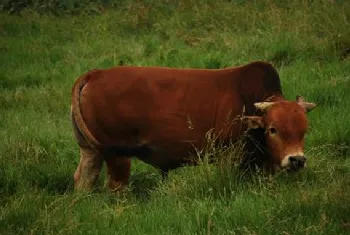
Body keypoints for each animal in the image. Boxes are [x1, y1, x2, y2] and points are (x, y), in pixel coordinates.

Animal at [69, 60, 316, 191]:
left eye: (303, 130)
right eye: (273, 129)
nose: (297, 160)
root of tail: (94, 74)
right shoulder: (228, 156)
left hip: (90, 151)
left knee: (84, 178)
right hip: (118, 156)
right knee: (116, 185)